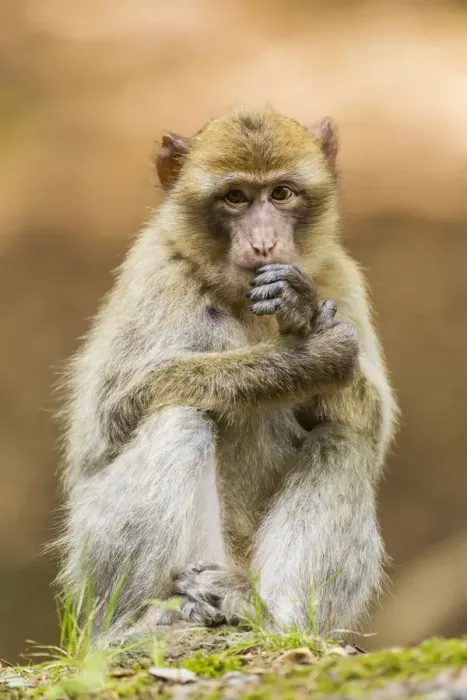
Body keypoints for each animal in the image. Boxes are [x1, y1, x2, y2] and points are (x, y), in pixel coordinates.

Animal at [57, 107, 398, 644]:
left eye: (281, 193)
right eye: (235, 197)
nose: (264, 242)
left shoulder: (340, 277)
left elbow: (374, 425)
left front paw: (301, 313)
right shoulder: (158, 272)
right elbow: (114, 413)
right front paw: (307, 356)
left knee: (343, 440)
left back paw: (269, 615)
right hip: (91, 570)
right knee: (178, 419)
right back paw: (136, 620)